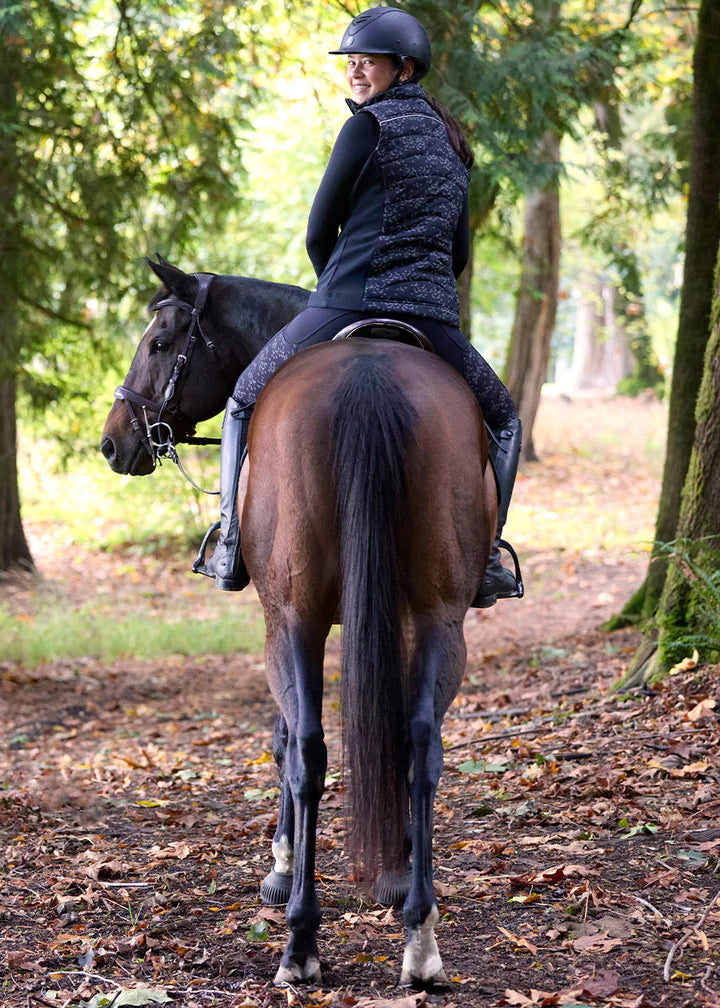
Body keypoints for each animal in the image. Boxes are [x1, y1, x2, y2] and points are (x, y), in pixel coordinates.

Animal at [102, 258, 497, 987]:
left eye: (160, 343)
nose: (113, 442)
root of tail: (369, 372)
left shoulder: (280, 619)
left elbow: (285, 737)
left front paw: (282, 868)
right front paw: (394, 868)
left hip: (294, 621)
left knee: (307, 750)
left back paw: (300, 940)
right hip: (438, 619)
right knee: (421, 745)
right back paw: (419, 938)